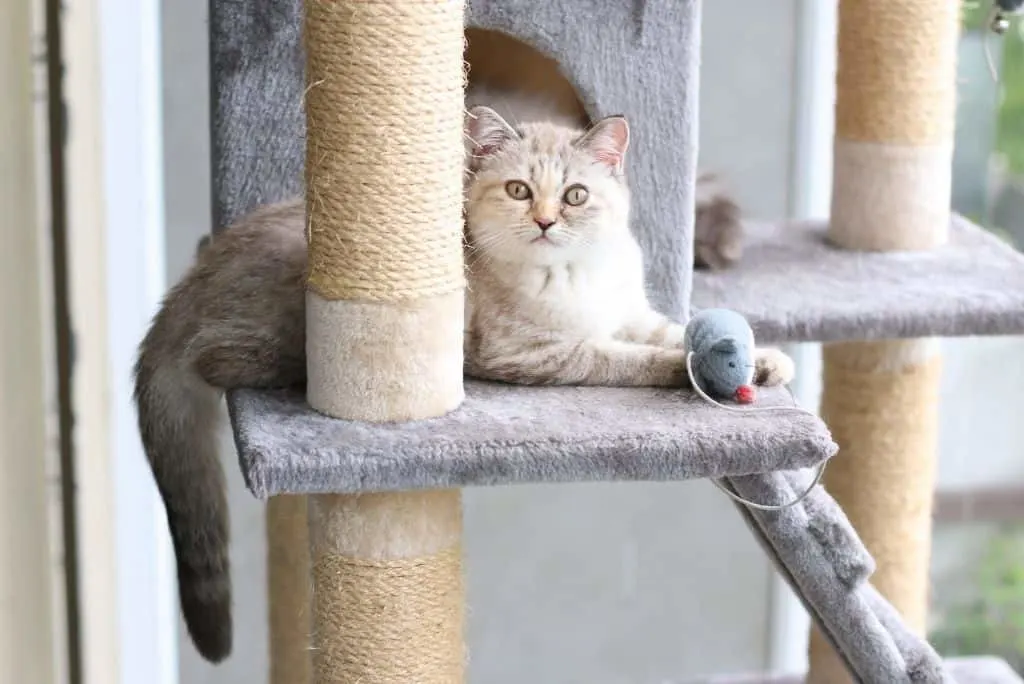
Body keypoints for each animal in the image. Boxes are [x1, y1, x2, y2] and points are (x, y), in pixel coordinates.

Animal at [132, 88, 786, 659]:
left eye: (575, 195)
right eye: (519, 190)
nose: (545, 222)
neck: (576, 275)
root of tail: (184, 293)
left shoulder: (630, 314)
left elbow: (676, 329)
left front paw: (765, 359)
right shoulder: (537, 351)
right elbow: (632, 358)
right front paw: (696, 368)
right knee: (218, 359)